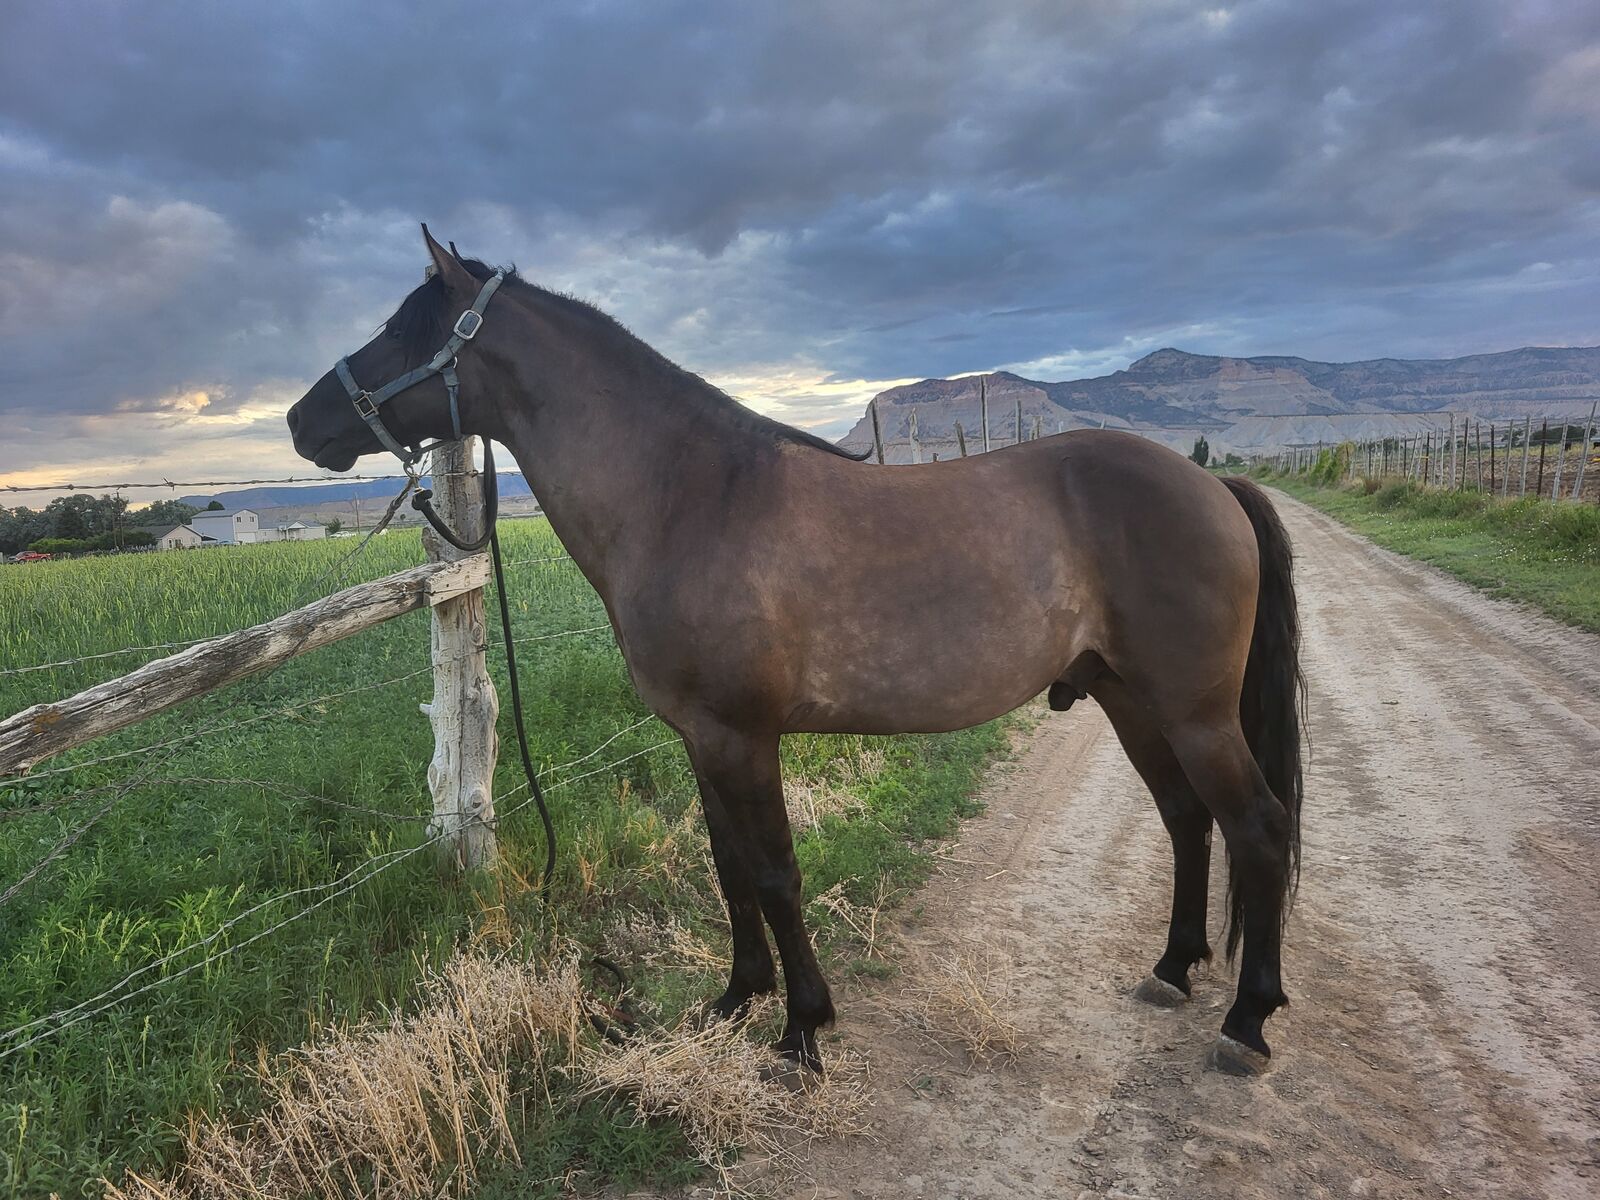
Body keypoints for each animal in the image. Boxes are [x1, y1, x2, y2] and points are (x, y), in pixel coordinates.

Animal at [288, 227, 1304, 1077]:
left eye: (401, 328)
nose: (301, 421)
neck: (690, 496)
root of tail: (1213, 487)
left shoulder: (743, 736)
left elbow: (775, 871)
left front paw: (803, 1030)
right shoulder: (700, 738)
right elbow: (729, 864)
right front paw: (738, 997)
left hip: (1193, 712)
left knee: (1255, 824)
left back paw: (1246, 1021)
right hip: (1132, 700)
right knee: (1187, 819)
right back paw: (1172, 968)